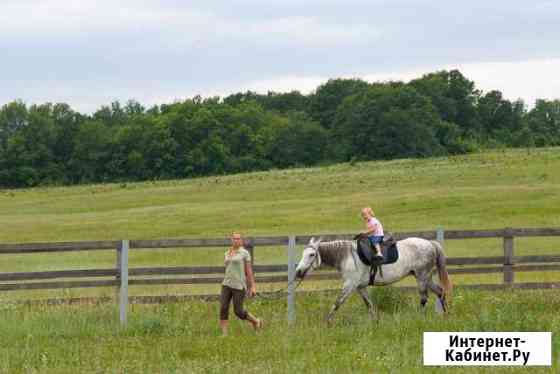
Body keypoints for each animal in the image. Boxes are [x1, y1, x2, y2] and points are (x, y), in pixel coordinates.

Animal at [296, 238, 452, 320]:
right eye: (303, 254)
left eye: (311, 254)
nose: (298, 272)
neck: (347, 257)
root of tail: (431, 243)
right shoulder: (360, 287)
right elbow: (369, 305)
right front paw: (375, 322)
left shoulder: (349, 285)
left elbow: (337, 303)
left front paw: (327, 323)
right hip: (426, 278)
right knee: (440, 292)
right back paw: (446, 315)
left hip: (422, 277)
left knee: (424, 298)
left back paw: (420, 317)